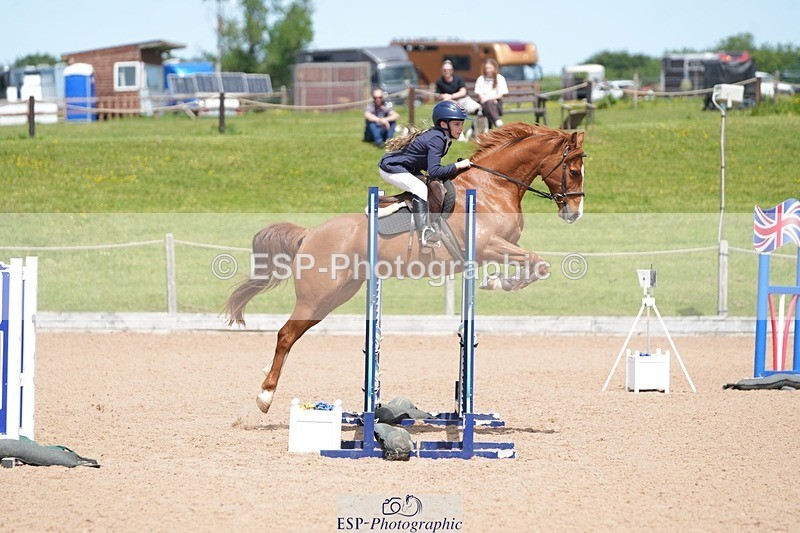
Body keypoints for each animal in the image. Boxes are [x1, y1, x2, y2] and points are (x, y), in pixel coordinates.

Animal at [225, 123, 586, 414]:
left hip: (336, 296)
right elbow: (537, 262)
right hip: (317, 296)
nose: (575, 213)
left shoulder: (495, 249)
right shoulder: (487, 246)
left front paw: (501, 282)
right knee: (286, 334)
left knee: (293, 333)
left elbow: (538, 264)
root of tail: (310, 233)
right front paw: (499, 282)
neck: (492, 186)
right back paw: (265, 396)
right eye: (574, 170)